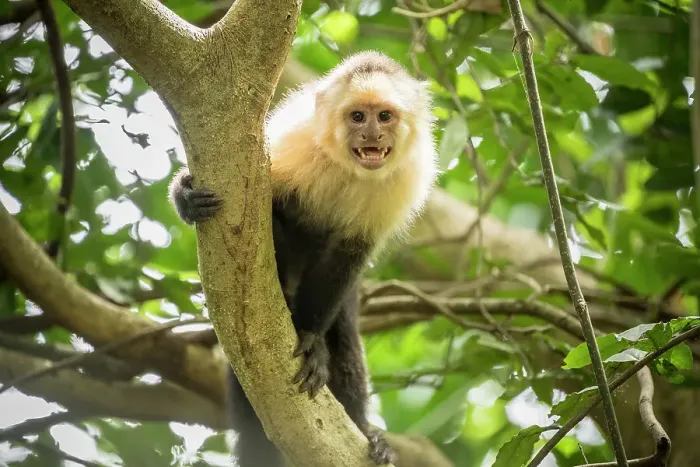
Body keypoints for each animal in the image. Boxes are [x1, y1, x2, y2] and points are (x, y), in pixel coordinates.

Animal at [168, 50, 437, 466]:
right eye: (357, 116)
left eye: (385, 116)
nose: (372, 135)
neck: (349, 168)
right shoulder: (293, 143)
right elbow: (264, 208)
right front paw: (185, 194)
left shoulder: (406, 179)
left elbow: (351, 252)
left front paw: (310, 337)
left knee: (344, 333)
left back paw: (365, 430)